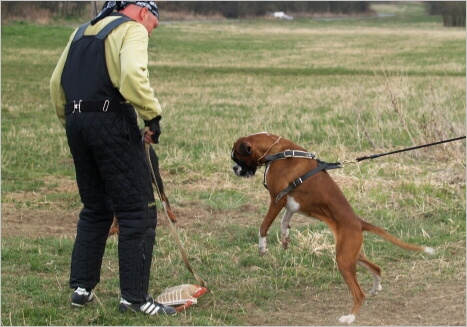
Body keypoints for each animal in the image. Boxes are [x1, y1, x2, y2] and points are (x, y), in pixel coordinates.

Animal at [230, 132, 436, 324]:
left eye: (236, 158)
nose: (234, 169)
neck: (278, 151)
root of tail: (359, 222)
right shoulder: (291, 204)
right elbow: (284, 222)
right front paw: (285, 239)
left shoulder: (277, 199)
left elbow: (264, 225)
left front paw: (262, 246)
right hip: (352, 254)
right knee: (376, 268)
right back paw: (375, 288)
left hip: (343, 259)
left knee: (359, 293)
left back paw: (350, 317)